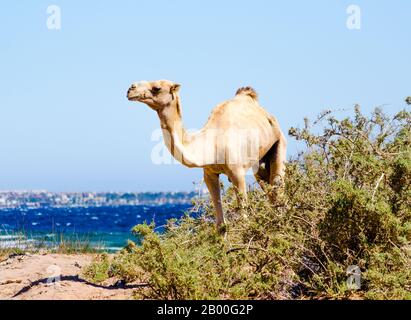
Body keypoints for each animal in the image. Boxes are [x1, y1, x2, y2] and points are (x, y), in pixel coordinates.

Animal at [127, 80, 288, 230]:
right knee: (270, 190)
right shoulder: (209, 173)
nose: (130, 89)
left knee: (278, 189)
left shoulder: (237, 173)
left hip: (279, 143)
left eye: (157, 88)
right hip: (259, 164)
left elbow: (244, 218)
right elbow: (221, 224)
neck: (211, 144)